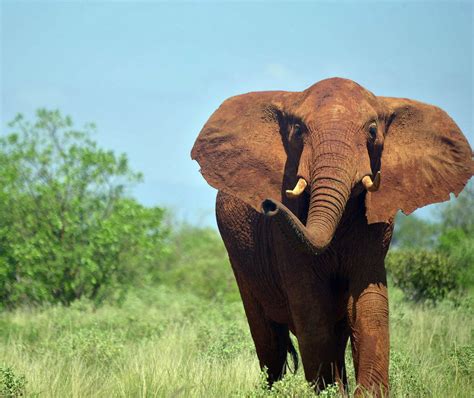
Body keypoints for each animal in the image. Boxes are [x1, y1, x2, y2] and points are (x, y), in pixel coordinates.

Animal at [190, 77, 474, 394]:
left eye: (373, 131)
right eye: (298, 131)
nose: (269, 204)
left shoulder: (377, 224)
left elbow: (369, 308)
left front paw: (366, 394)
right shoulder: (283, 238)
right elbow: (312, 310)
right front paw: (328, 392)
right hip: (241, 262)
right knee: (268, 339)